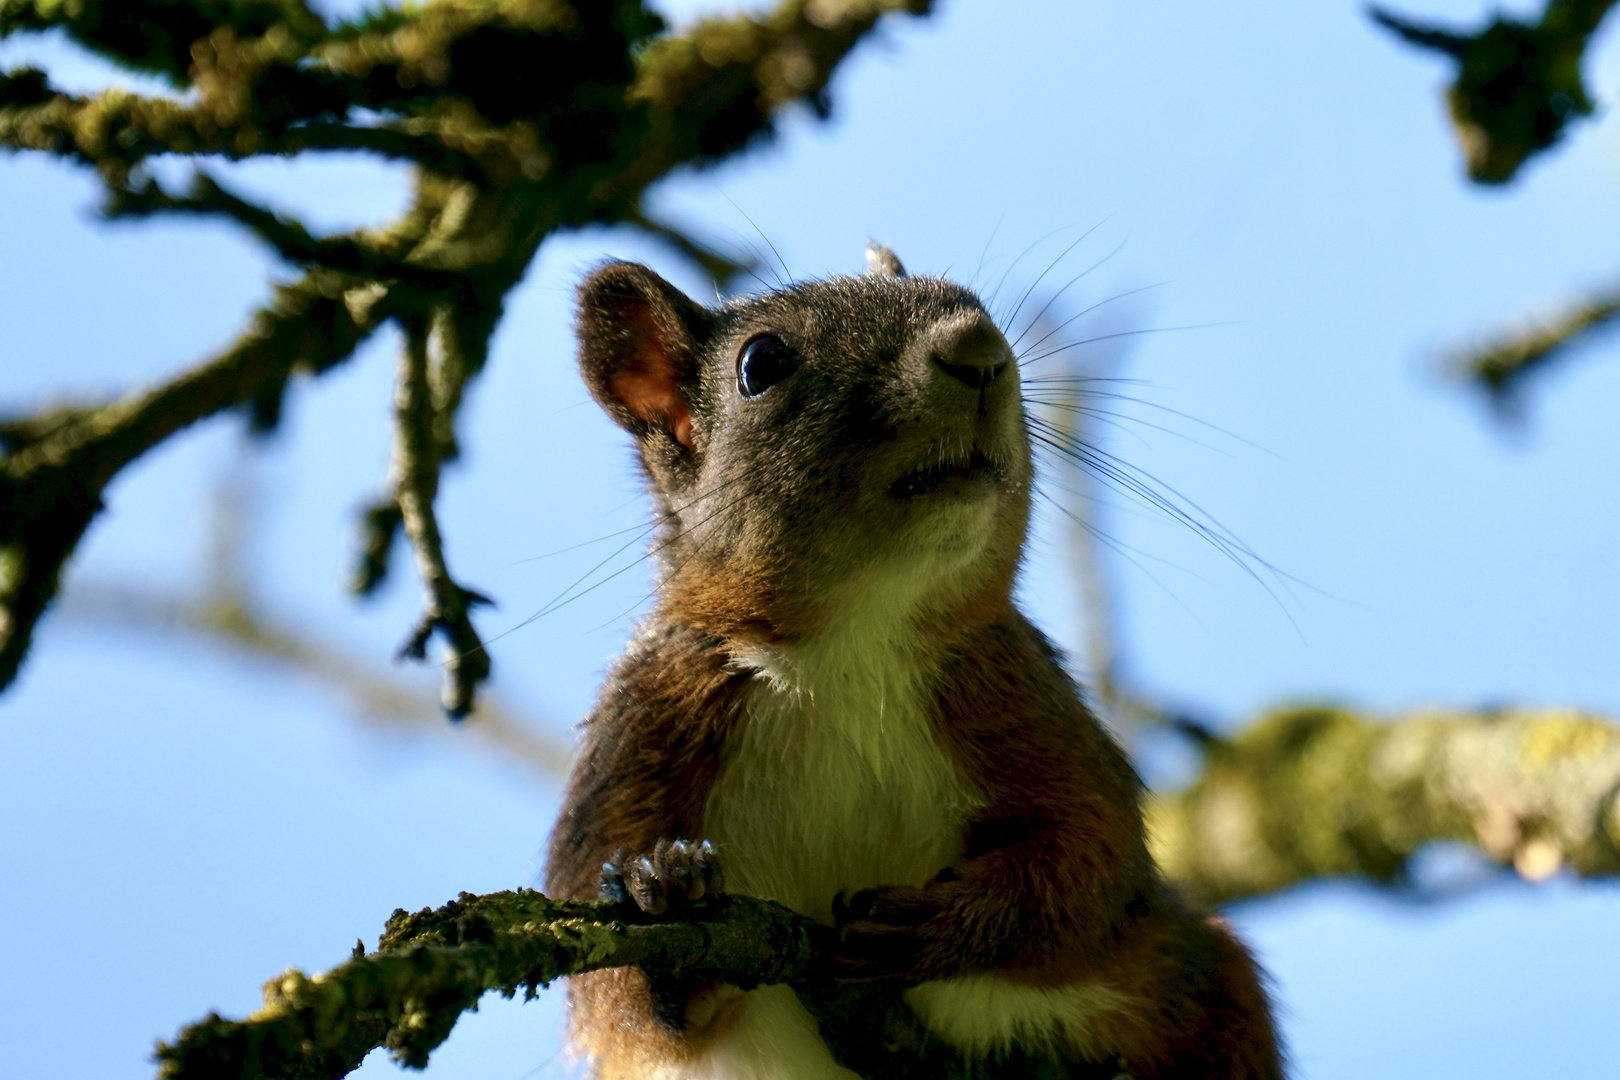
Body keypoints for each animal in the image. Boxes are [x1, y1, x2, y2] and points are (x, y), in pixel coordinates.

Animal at [550, 247, 1283, 1080]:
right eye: (760, 363)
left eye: (969, 298)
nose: (978, 349)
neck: (848, 646)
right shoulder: (641, 728)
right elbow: (612, 995)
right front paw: (668, 900)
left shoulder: (1020, 700)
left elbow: (1088, 861)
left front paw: (939, 925)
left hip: (1200, 978)